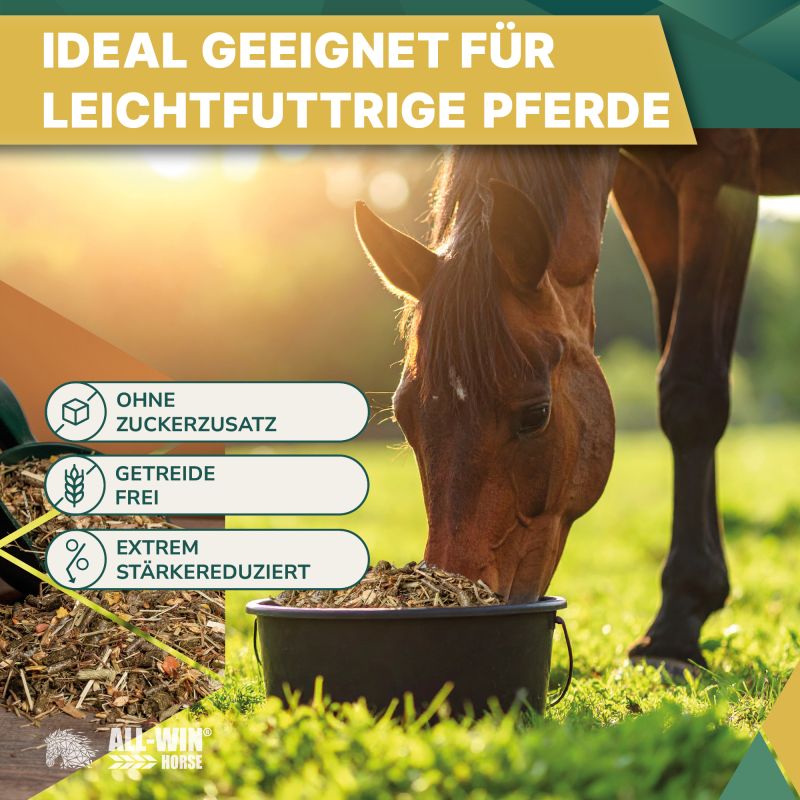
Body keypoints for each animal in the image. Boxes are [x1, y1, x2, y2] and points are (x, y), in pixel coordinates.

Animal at [355, 131, 800, 671]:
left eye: (536, 415)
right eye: (404, 417)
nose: (462, 589)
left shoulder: (723, 169)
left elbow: (693, 392)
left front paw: (676, 625)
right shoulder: (646, 187)